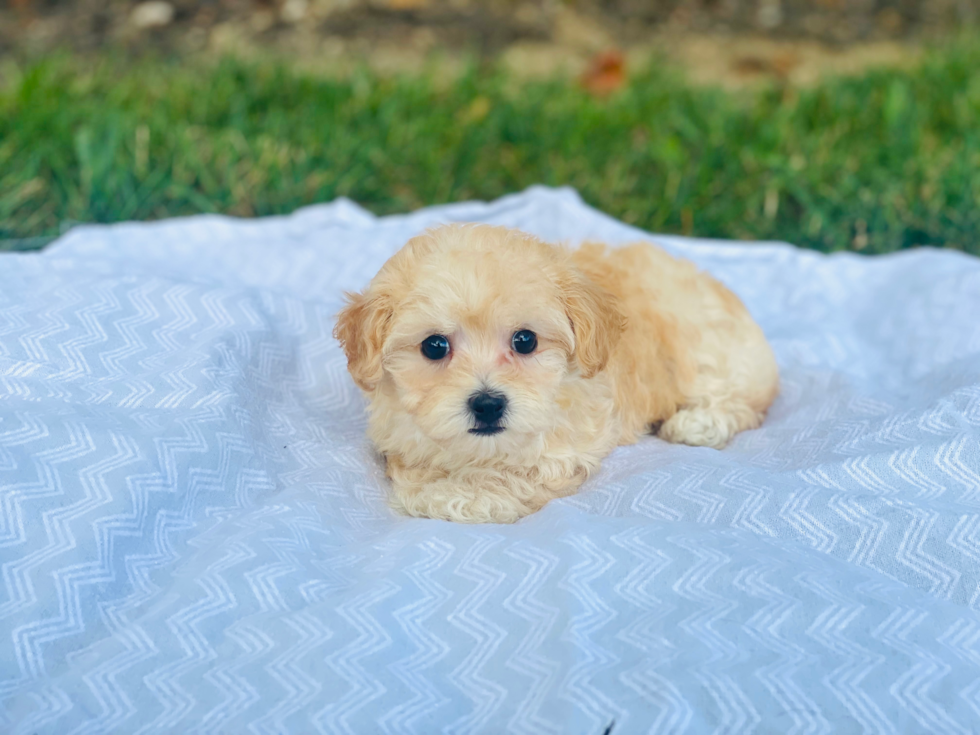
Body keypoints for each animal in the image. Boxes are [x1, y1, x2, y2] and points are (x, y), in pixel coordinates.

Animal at [336, 224, 780, 524]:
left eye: (525, 340)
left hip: (711, 354)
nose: (487, 404)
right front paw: (430, 482)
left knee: (744, 402)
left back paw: (699, 423)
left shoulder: (564, 447)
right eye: (434, 347)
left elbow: (515, 475)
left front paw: (461, 495)